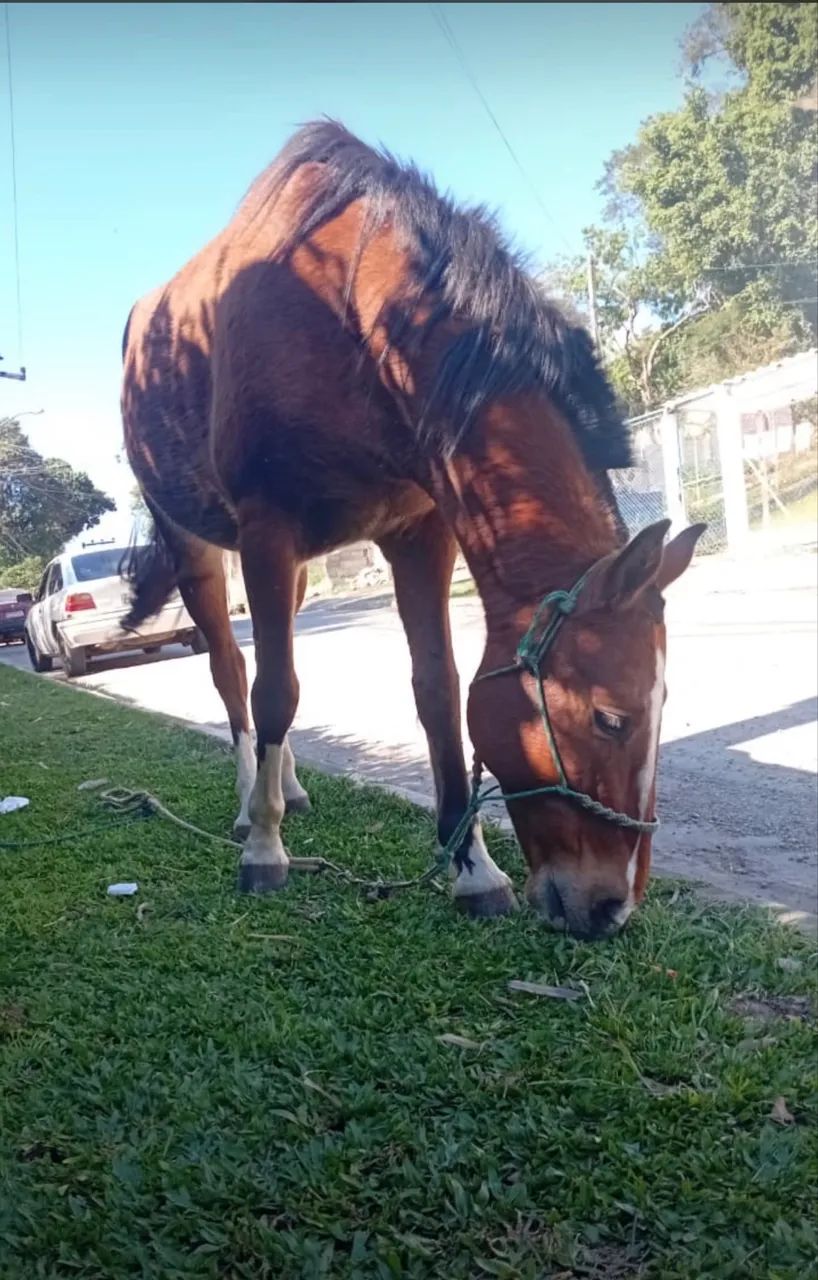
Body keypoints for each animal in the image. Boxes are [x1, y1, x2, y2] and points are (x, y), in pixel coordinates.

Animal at [121, 120, 703, 940]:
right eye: (610, 718)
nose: (610, 906)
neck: (350, 322)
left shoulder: (420, 530)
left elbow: (439, 691)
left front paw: (472, 866)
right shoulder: (268, 529)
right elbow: (274, 692)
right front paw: (265, 849)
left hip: (296, 571)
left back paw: (287, 785)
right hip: (198, 546)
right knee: (233, 675)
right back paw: (250, 806)